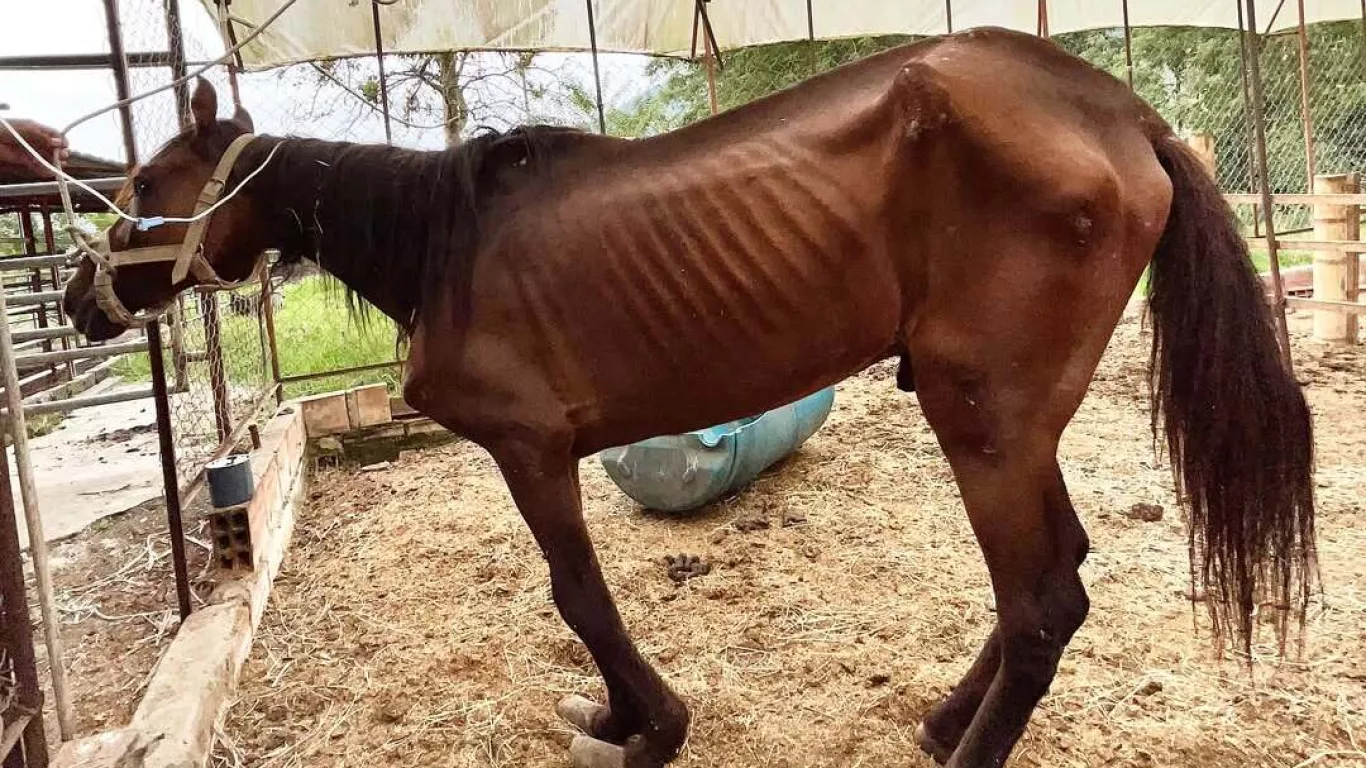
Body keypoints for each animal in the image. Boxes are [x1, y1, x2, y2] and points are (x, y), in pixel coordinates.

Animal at [63, 27, 1316, 768]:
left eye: (148, 188)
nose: (79, 299)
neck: (444, 246)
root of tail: (1120, 114)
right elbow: (579, 599)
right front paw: (623, 716)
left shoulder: (529, 449)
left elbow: (578, 595)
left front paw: (646, 730)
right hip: (1011, 427)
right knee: (1048, 591)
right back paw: (944, 721)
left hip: (986, 424)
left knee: (1041, 601)